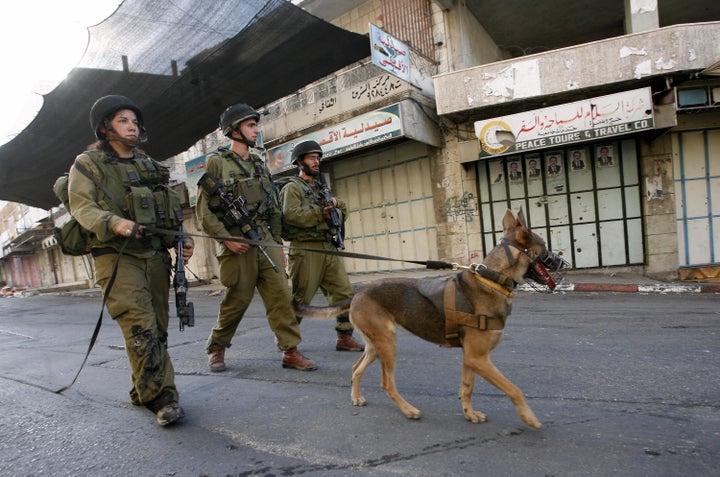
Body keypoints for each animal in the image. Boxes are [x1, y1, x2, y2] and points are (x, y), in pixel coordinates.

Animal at [292, 208, 568, 428]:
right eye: (544, 247)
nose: (562, 262)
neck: (492, 279)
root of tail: (358, 292)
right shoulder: (478, 358)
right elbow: (514, 389)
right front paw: (529, 418)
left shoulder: (472, 358)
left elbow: (467, 388)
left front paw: (469, 414)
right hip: (388, 344)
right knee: (387, 383)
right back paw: (408, 410)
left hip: (375, 345)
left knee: (355, 368)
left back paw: (356, 397)